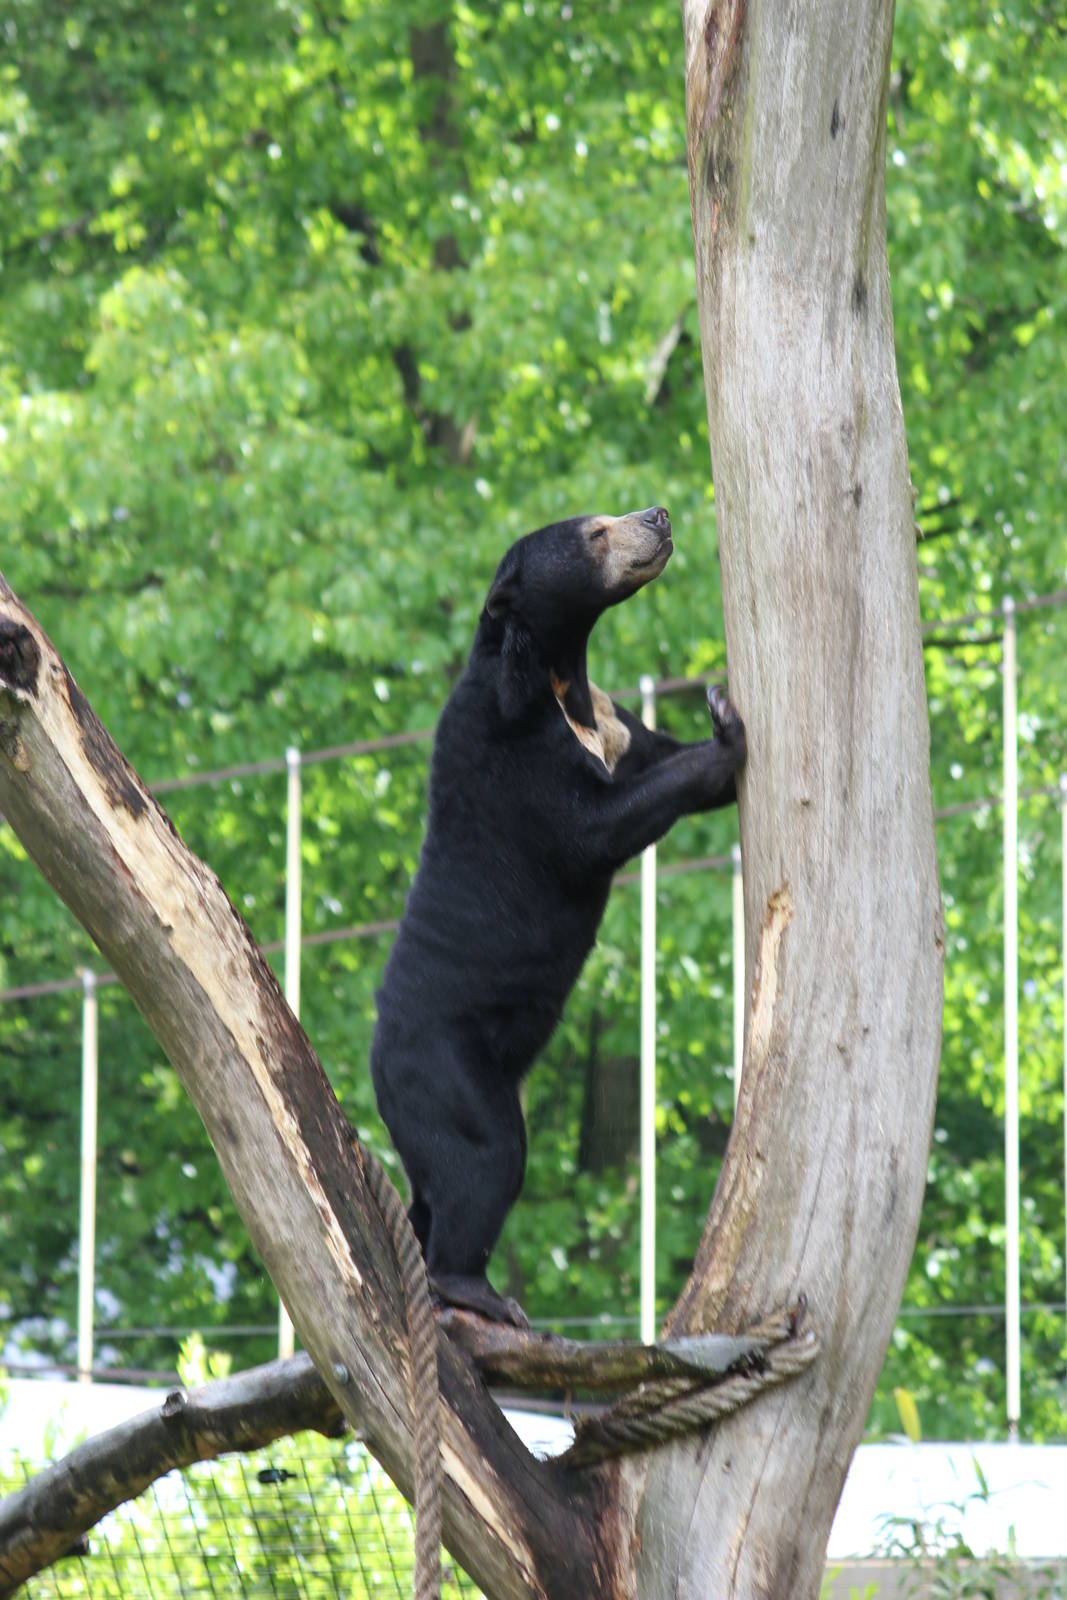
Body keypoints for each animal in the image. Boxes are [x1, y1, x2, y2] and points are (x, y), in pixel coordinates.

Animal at [370, 506, 745, 1325]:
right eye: (594, 534)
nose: (657, 516)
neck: (558, 676)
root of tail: (376, 1060)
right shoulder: (511, 753)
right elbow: (592, 828)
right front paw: (724, 725)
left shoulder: (613, 721)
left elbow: (648, 760)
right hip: (446, 1065)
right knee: (486, 1156)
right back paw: (476, 1289)